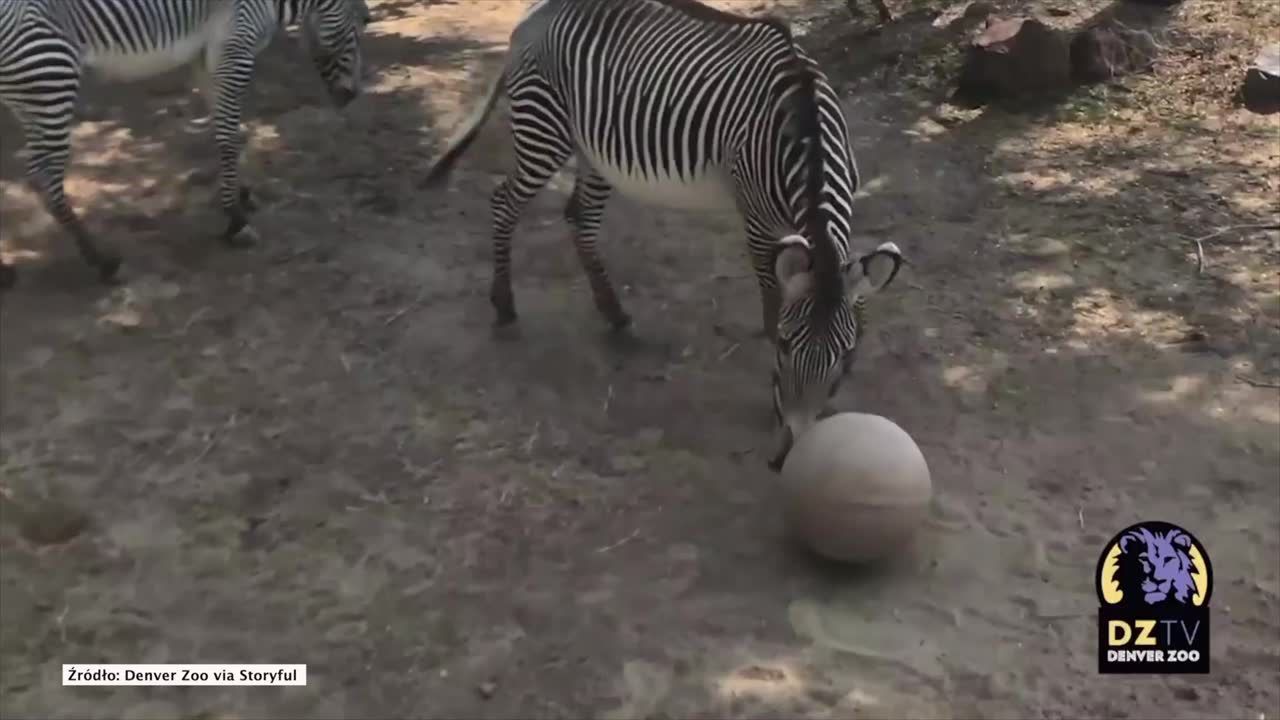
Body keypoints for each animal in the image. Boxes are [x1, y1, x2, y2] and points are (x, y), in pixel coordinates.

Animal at [0, 0, 366, 289]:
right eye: (362, 26)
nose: (351, 97)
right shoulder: (235, 49)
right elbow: (228, 135)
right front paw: (235, 221)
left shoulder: (207, 58)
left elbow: (229, 130)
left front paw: (241, 195)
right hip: (50, 76)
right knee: (42, 175)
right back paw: (102, 260)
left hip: (30, 93)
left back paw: (8, 270)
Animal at [422, 0, 906, 469]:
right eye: (786, 347)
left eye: (847, 356)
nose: (788, 453)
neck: (803, 129)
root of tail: (535, 11)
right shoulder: (756, 220)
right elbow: (772, 301)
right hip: (544, 131)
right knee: (503, 203)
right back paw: (504, 306)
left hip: (593, 150)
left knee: (580, 217)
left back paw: (614, 313)